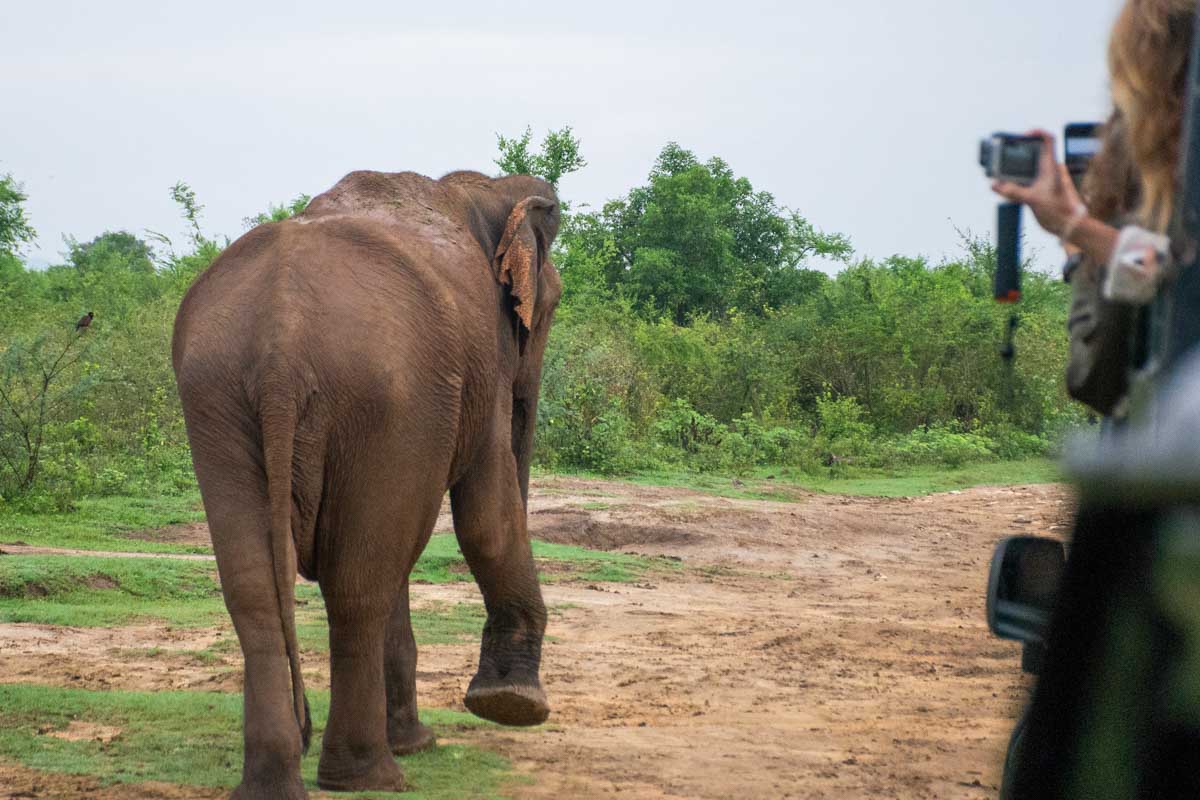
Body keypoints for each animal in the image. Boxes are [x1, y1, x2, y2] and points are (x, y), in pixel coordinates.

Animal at [172, 169, 562, 797]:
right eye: (550, 308)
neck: (480, 191)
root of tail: (280, 347)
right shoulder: (486, 367)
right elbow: (487, 518)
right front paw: (512, 704)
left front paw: (426, 736)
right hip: (385, 396)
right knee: (357, 587)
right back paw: (370, 774)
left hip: (215, 396)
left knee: (258, 589)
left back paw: (280, 782)